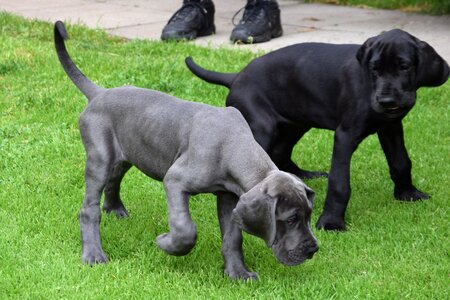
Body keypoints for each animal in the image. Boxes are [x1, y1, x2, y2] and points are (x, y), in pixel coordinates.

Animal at [54, 21, 318, 282]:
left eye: (309, 214)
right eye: (291, 219)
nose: (313, 250)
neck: (234, 147)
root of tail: (99, 93)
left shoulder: (229, 196)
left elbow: (233, 237)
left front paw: (237, 273)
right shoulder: (175, 180)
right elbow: (185, 228)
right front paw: (166, 243)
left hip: (127, 151)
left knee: (114, 178)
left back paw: (114, 209)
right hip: (99, 156)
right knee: (89, 208)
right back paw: (93, 255)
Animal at [185, 29, 448, 231]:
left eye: (404, 66)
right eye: (374, 69)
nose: (386, 100)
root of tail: (236, 77)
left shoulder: (391, 126)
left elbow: (401, 162)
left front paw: (408, 194)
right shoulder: (345, 135)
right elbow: (340, 182)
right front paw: (331, 222)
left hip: (296, 123)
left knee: (280, 153)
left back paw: (301, 176)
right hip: (261, 127)